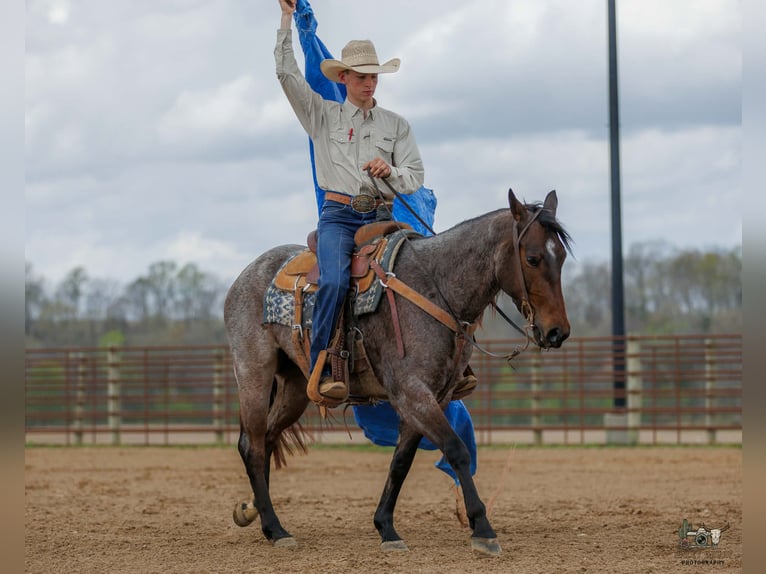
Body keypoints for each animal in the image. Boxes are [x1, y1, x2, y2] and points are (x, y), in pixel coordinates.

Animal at [224, 188, 572, 556]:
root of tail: (245, 275)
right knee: (252, 446)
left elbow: (401, 461)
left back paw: (255, 513)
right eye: (533, 258)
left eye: (561, 257)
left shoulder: (432, 397)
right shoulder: (413, 393)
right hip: (254, 374)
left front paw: (386, 528)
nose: (557, 332)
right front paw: (483, 529)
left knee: (267, 439)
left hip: (294, 386)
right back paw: (276, 529)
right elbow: (457, 450)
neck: (435, 288)